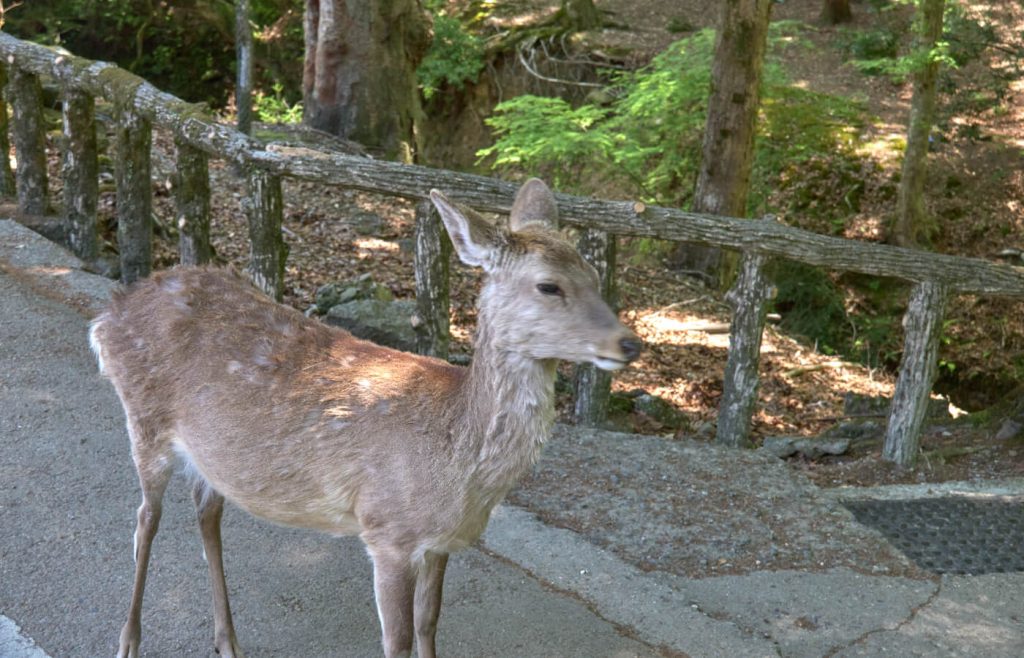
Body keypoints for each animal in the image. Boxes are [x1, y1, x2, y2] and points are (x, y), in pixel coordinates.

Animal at [89, 178, 642, 658]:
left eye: (597, 278)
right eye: (549, 286)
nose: (629, 343)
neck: (458, 467)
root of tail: (109, 313)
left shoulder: (440, 543)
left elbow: (429, 624)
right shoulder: (387, 529)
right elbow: (397, 641)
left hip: (209, 454)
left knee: (207, 512)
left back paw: (228, 640)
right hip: (144, 417)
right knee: (145, 519)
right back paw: (129, 641)